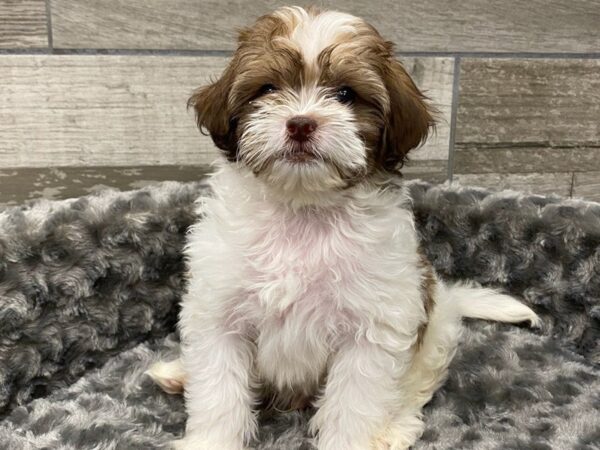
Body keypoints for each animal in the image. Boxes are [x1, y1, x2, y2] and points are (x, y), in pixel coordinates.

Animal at [146, 7, 540, 450]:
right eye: (267, 89)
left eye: (346, 95)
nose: (301, 124)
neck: (303, 209)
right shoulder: (218, 313)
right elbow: (218, 393)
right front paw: (211, 439)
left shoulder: (371, 332)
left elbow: (354, 404)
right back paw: (179, 373)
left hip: (431, 333)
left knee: (414, 386)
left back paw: (395, 427)